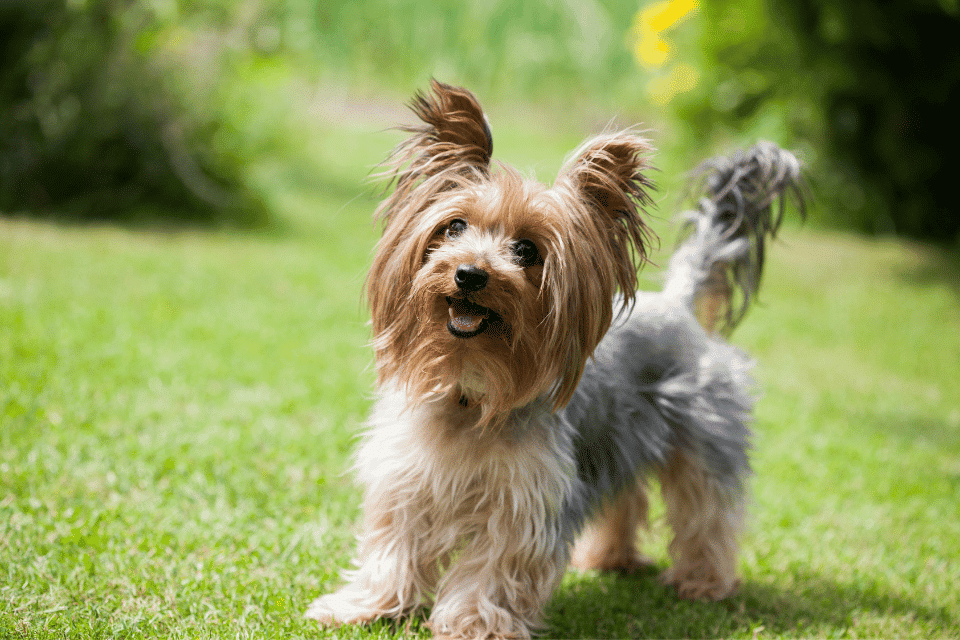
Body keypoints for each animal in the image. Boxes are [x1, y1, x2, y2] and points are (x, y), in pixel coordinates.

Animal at [308, 81, 804, 640]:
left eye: (527, 250)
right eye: (453, 227)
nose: (470, 273)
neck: (470, 385)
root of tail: (679, 305)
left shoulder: (524, 500)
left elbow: (494, 566)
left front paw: (475, 623)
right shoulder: (406, 480)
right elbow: (393, 546)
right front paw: (365, 606)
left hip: (704, 435)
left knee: (707, 511)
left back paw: (703, 582)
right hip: (616, 438)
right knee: (626, 497)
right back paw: (610, 559)